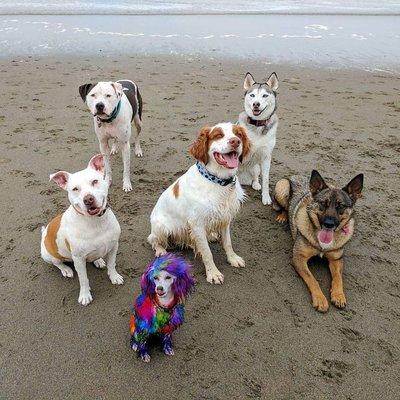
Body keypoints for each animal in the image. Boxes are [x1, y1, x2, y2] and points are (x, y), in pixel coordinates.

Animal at [40, 155, 122, 304]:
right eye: (75, 189)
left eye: (95, 181)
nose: (88, 199)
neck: (95, 222)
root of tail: (44, 233)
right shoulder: (78, 259)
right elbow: (83, 279)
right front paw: (85, 295)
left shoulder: (114, 246)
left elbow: (112, 264)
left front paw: (114, 277)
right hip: (48, 255)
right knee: (57, 263)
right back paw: (66, 270)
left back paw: (98, 260)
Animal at [148, 122, 250, 284]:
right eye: (218, 135)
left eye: (238, 134)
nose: (235, 141)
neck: (218, 182)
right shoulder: (197, 224)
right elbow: (207, 253)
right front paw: (213, 273)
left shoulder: (225, 218)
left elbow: (227, 242)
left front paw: (233, 258)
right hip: (161, 227)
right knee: (153, 240)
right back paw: (160, 250)